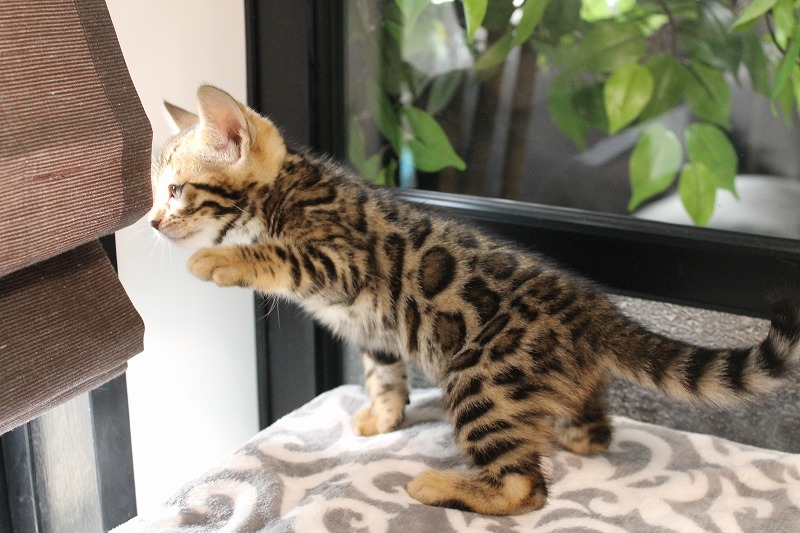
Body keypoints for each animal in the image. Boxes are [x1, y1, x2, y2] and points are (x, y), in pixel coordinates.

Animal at [148, 85, 800, 516]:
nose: (152, 222)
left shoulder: (342, 259)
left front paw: (222, 261)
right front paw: (384, 416)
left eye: (176, 191)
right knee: (595, 432)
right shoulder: (375, 331)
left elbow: (280, 258)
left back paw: (443, 487)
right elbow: (383, 375)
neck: (287, 191)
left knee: (526, 489)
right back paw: (566, 432)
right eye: (158, 195)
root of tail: (593, 310)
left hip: (483, 376)